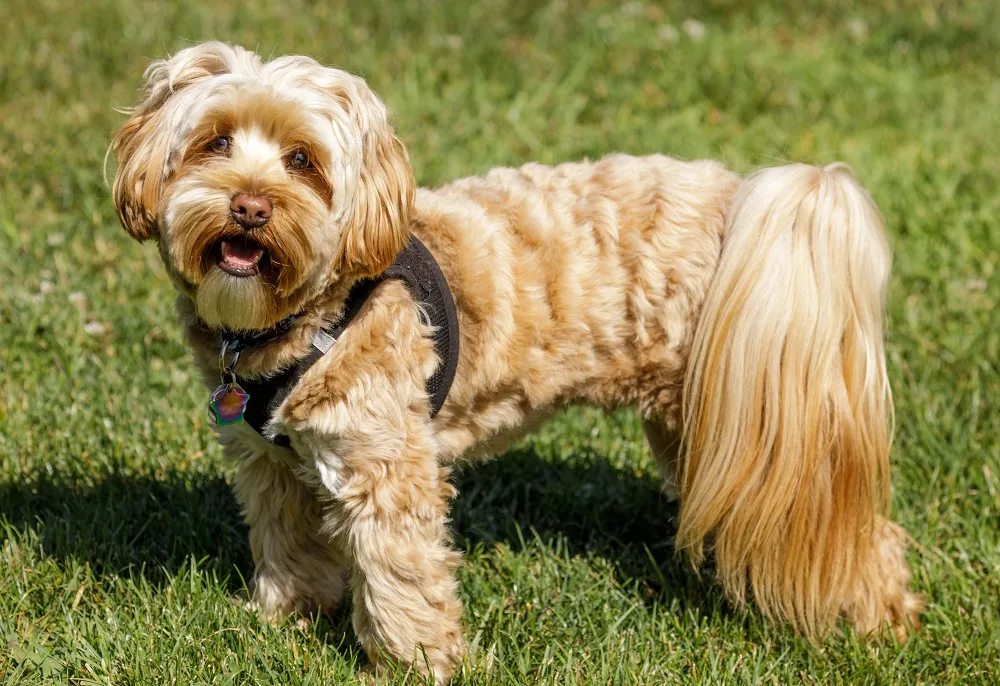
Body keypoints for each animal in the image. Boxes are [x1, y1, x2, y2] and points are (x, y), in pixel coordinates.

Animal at [109, 41, 920, 684]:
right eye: (214, 143)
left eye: (303, 161)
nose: (249, 207)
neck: (305, 317)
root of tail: (742, 197)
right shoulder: (269, 465)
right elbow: (288, 543)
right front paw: (281, 619)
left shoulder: (388, 468)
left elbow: (403, 577)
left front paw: (413, 666)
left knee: (855, 529)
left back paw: (880, 623)